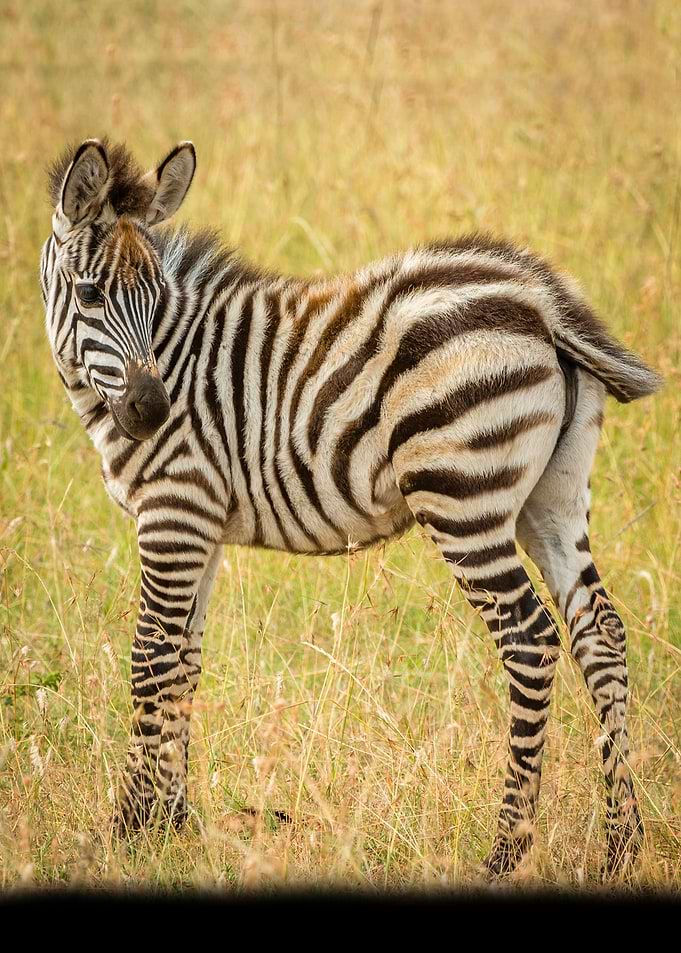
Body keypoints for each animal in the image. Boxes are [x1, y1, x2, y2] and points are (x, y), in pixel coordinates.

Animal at [41, 137, 661, 877]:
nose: (152, 411)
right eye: (91, 294)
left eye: (155, 297)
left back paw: (505, 851)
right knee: (599, 631)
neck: (175, 355)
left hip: (463, 495)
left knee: (530, 640)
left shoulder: (174, 512)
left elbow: (150, 662)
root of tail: (539, 300)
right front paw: (172, 824)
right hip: (553, 497)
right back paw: (621, 845)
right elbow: (185, 664)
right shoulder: (201, 529)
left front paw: (129, 828)